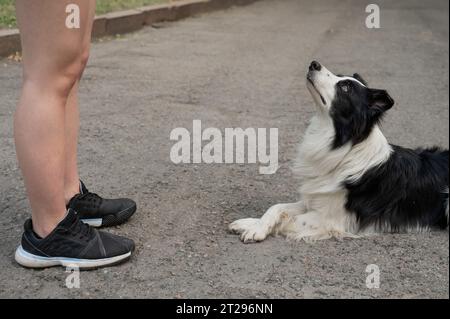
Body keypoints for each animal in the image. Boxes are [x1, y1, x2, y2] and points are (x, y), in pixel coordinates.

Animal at [230, 61, 448, 244]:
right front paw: (252, 224)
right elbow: (277, 208)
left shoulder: (332, 219)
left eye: (345, 88)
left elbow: (289, 217)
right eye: (339, 76)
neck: (344, 148)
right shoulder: (315, 198)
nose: (314, 63)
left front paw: (256, 229)